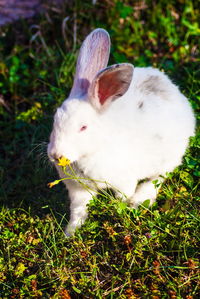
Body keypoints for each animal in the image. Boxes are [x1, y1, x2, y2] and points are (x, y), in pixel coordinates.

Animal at [48, 28, 195, 237]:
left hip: (171, 156)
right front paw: (70, 233)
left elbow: (121, 198)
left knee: (159, 177)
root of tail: (171, 87)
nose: (55, 154)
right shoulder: (78, 190)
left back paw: (140, 200)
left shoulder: (124, 182)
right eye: (55, 118)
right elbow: (78, 211)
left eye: (83, 127)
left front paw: (123, 213)